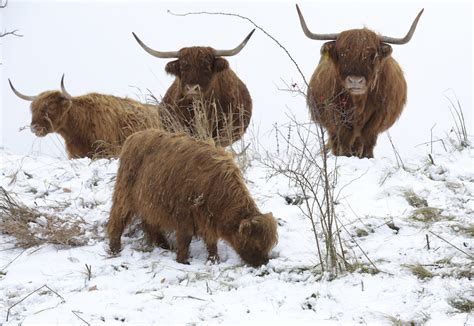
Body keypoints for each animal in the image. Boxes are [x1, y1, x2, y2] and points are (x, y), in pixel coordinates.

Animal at [107, 130, 278, 268]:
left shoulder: (207, 218)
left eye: (269, 244)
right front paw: (183, 261)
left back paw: (164, 245)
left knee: (150, 223)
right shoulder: (184, 214)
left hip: (149, 201)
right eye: (255, 244)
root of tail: (133, 137)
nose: (264, 263)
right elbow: (186, 239)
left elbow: (211, 241)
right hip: (124, 194)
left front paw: (214, 260)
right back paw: (115, 249)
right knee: (118, 219)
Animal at [294, 5, 424, 158]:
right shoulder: (335, 113)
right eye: (342, 53)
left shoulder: (378, 116)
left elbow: (368, 141)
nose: (355, 81)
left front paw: (368, 157)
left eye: (372, 55)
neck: (359, 102)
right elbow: (343, 140)